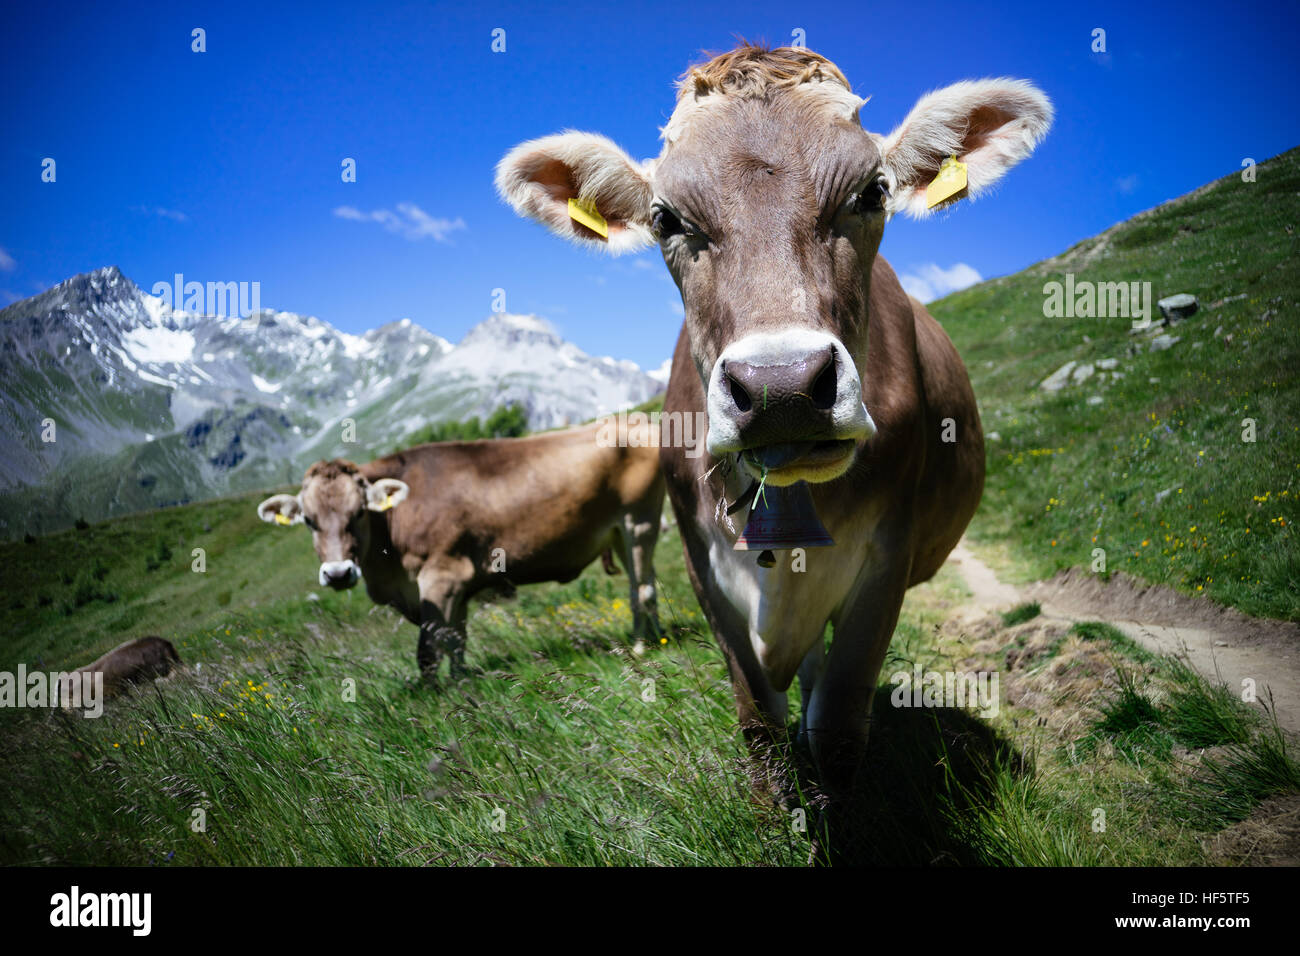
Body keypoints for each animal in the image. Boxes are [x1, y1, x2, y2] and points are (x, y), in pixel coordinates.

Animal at [256, 419, 666, 679]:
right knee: (648, 583)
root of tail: (634, 419)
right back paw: (658, 636)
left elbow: (428, 649)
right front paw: (461, 679)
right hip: (618, 532)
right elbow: (456, 640)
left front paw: (434, 696)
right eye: (309, 521)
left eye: (358, 513)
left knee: (641, 589)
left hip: (640, 520)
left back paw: (641, 648)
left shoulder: (444, 576)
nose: (339, 573)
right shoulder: (458, 588)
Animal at [496, 44, 1051, 846]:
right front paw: (772, 816)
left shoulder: (887, 557)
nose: (782, 386)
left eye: (872, 192)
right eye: (666, 217)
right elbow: (758, 714)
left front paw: (838, 817)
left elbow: (838, 722)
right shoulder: (700, 562)